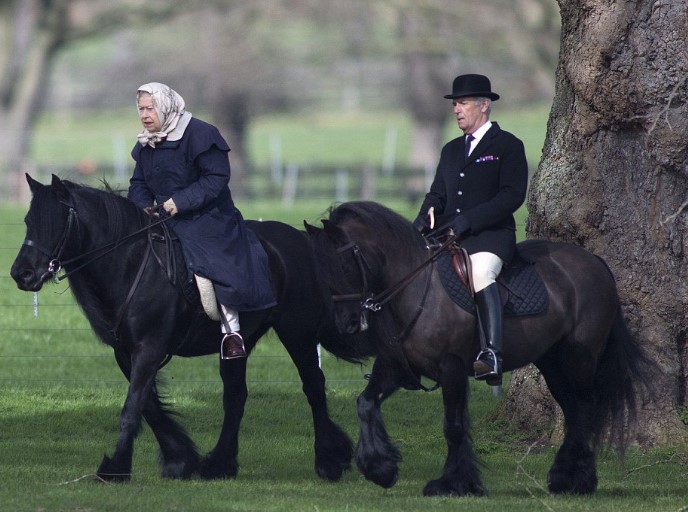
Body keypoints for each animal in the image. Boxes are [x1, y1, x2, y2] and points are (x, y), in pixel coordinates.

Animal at [8, 174, 374, 482]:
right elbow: (149, 407)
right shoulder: (126, 352)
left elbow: (132, 408)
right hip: (238, 343)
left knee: (313, 386)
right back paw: (220, 464)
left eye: (55, 223)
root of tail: (300, 240)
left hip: (297, 333)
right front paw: (180, 460)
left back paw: (330, 460)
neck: (131, 263)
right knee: (236, 396)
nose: (21, 274)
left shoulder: (149, 348)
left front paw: (115, 468)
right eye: (27, 222)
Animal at [306, 200, 656, 496]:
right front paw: (380, 468)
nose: (348, 324)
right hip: (552, 363)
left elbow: (453, 426)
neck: (416, 288)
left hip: (579, 358)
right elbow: (365, 404)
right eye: (319, 268)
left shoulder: (452, 367)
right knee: (573, 410)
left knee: (585, 408)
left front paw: (452, 483)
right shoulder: (395, 366)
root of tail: (594, 261)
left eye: (344, 266)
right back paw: (565, 477)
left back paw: (578, 479)